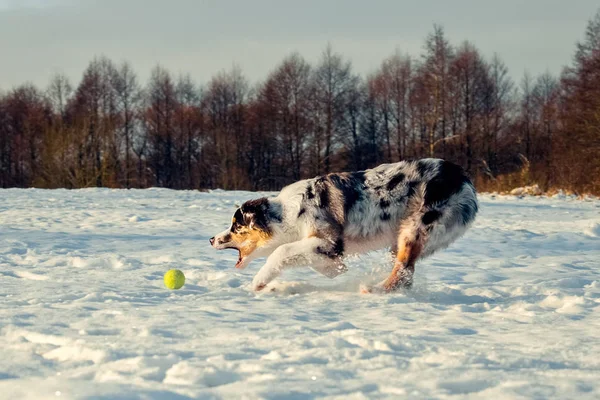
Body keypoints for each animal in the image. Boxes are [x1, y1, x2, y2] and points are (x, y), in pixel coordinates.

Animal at [211, 158, 478, 292]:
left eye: (235, 226)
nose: (211, 239)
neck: (285, 214)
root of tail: (465, 180)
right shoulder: (324, 246)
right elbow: (319, 262)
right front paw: (336, 270)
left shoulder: (328, 239)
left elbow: (281, 251)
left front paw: (259, 281)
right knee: (406, 274)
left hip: (415, 229)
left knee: (403, 272)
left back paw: (375, 289)